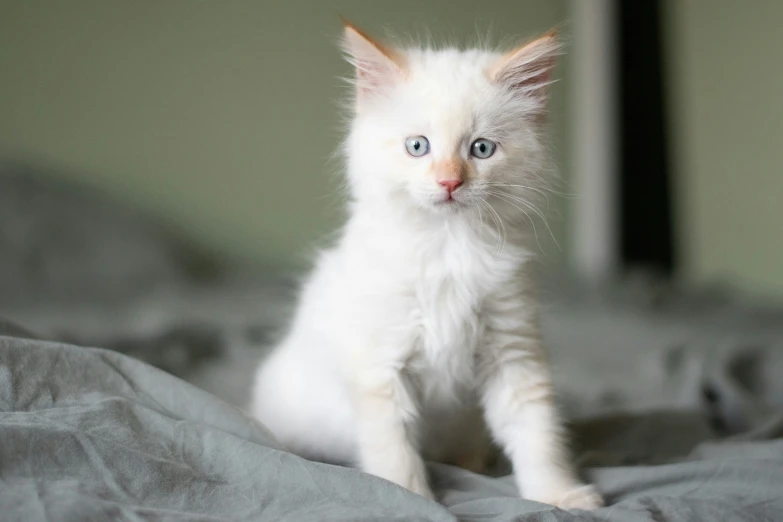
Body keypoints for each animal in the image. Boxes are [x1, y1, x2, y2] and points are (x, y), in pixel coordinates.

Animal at [248, 21, 604, 508]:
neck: (448, 246)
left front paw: (559, 496)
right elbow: (394, 451)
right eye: (418, 146)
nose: (449, 182)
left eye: (481, 149)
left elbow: (539, 436)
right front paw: (410, 500)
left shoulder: (513, 351)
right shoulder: (381, 366)